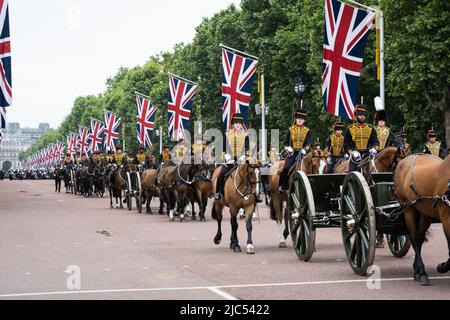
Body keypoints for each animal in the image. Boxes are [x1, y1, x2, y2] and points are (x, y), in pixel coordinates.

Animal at [394, 153, 450, 284]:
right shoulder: (446, 217)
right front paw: (442, 267)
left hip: (425, 212)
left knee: (419, 237)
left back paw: (417, 270)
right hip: (408, 208)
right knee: (414, 236)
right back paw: (422, 273)